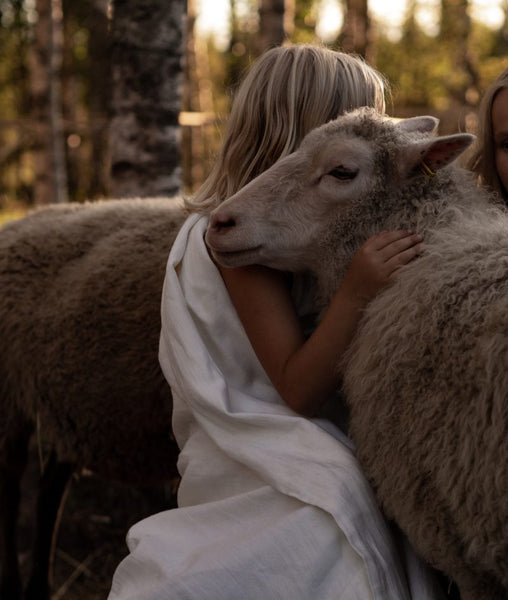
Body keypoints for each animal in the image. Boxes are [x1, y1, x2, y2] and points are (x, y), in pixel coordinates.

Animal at [0, 197, 187, 600]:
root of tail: (19, 222)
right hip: (8, 401)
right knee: (9, 491)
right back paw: (13, 586)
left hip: (67, 411)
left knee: (47, 494)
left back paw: (40, 587)